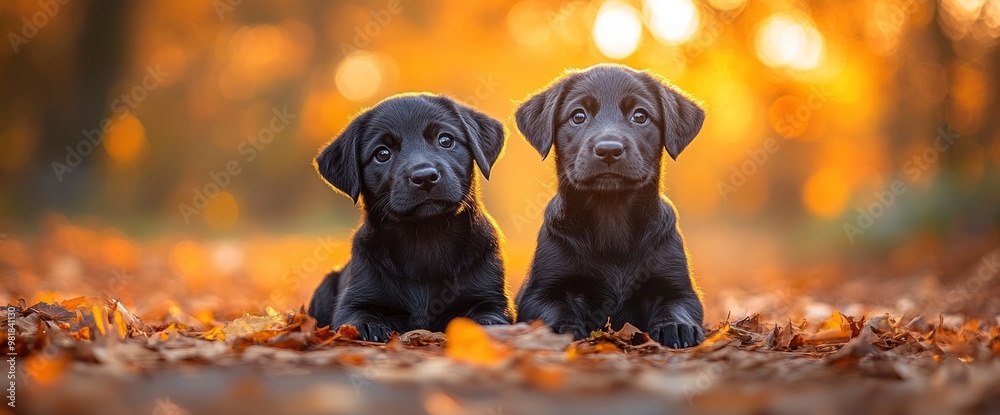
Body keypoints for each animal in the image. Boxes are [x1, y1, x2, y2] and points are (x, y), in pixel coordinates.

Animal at [310, 93, 516, 342]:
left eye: (445, 140)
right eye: (382, 154)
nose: (424, 176)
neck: (426, 239)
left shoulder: (492, 299)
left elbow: (488, 316)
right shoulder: (353, 300)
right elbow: (356, 317)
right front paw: (370, 328)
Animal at [512, 65, 708, 350]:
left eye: (640, 116)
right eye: (578, 116)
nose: (608, 150)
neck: (611, 216)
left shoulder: (678, 287)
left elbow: (676, 305)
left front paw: (677, 326)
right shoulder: (539, 290)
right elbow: (552, 308)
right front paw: (561, 328)